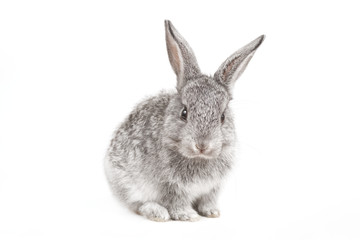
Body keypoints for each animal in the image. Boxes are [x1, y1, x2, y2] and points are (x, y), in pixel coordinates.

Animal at [104, 19, 264, 222]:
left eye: (222, 117)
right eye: (184, 113)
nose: (202, 145)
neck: (199, 158)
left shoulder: (213, 188)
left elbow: (208, 200)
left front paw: (212, 212)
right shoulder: (170, 186)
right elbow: (176, 202)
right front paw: (189, 215)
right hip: (126, 181)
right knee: (137, 204)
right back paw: (157, 212)